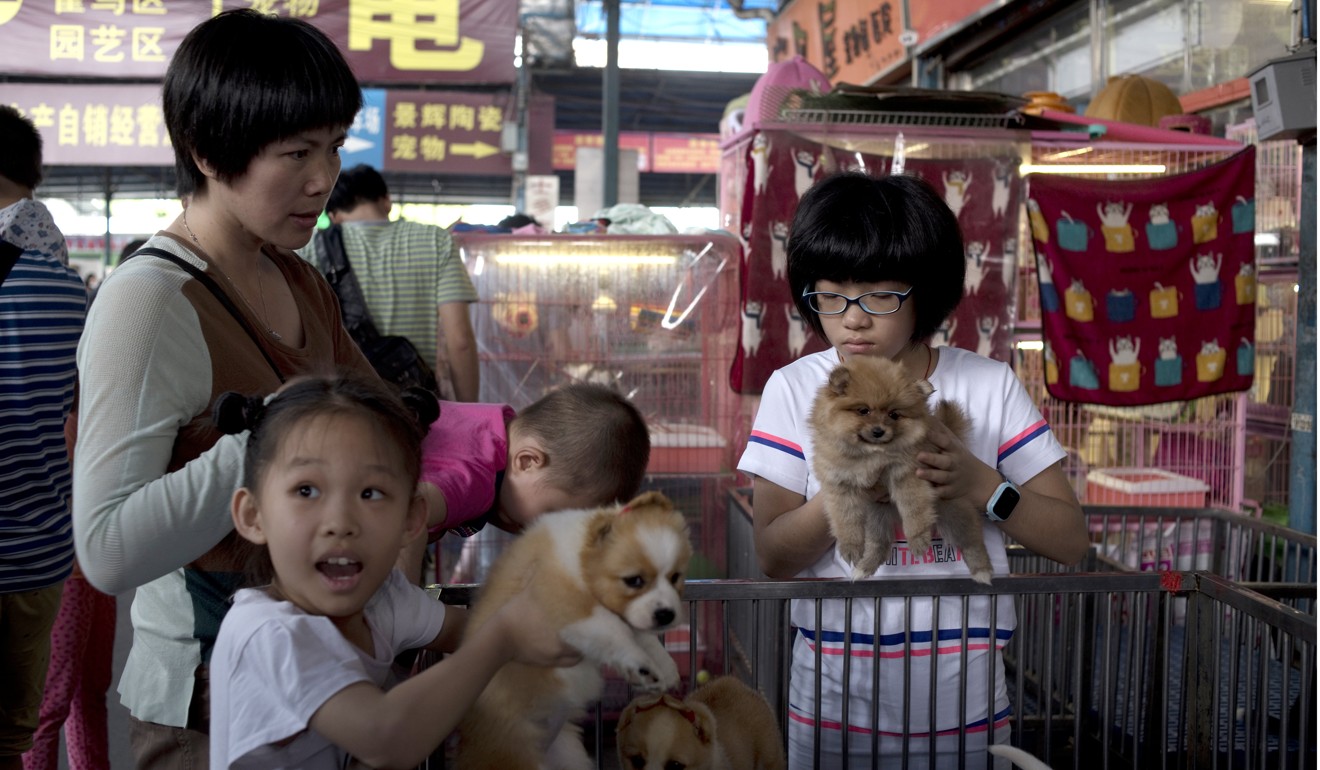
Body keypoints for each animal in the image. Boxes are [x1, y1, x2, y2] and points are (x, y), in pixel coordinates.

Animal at [456, 493, 691, 770]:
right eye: (634, 581)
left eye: (675, 577)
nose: (666, 614)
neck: (580, 561)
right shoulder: (571, 607)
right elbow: (614, 631)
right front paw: (642, 665)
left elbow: (646, 637)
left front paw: (664, 667)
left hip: (570, 755)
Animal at [807, 356, 992, 583]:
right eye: (863, 411)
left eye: (894, 414)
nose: (878, 431)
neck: (872, 454)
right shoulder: (840, 483)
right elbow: (845, 518)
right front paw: (850, 546)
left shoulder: (908, 474)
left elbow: (913, 509)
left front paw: (918, 539)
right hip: (876, 516)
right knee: (879, 543)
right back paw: (863, 568)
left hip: (952, 511)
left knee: (971, 538)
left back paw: (982, 570)